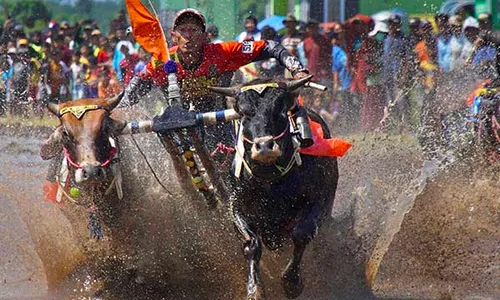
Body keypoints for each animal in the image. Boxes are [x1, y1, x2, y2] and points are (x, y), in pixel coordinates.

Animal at [211, 78, 340, 300]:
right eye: (243, 113)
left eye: (279, 109)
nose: (264, 146)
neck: (271, 181)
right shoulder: (237, 207)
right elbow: (252, 245)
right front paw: (254, 289)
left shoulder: (320, 200)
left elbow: (302, 233)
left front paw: (292, 281)